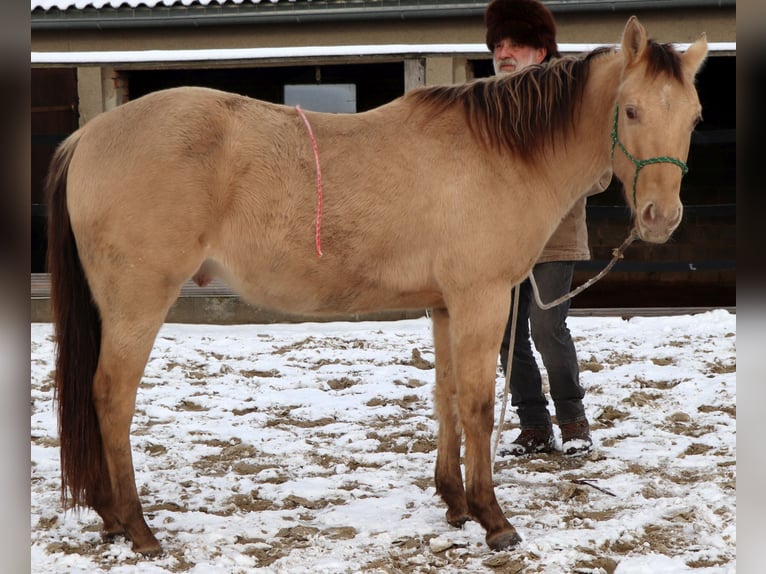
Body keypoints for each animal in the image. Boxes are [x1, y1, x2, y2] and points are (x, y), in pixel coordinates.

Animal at [46, 16, 708, 560]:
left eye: (695, 116)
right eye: (631, 110)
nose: (661, 218)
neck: (499, 153)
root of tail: (88, 137)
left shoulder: (446, 307)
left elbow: (446, 397)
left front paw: (455, 504)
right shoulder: (482, 299)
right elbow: (477, 404)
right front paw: (494, 520)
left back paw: (111, 519)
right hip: (138, 303)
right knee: (111, 397)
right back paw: (137, 528)